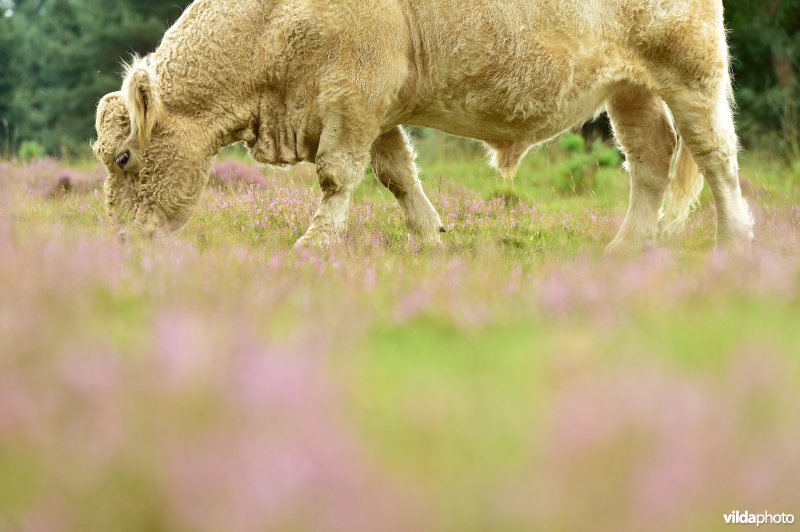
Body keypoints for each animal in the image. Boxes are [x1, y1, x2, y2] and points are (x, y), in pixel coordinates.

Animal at [94, 0, 756, 251]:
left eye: (123, 157)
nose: (120, 240)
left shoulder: (354, 95)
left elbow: (337, 176)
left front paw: (315, 244)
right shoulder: (376, 108)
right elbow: (397, 174)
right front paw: (432, 239)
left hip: (691, 74)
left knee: (716, 157)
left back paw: (735, 244)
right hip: (630, 90)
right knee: (651, 158)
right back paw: (626, 248)